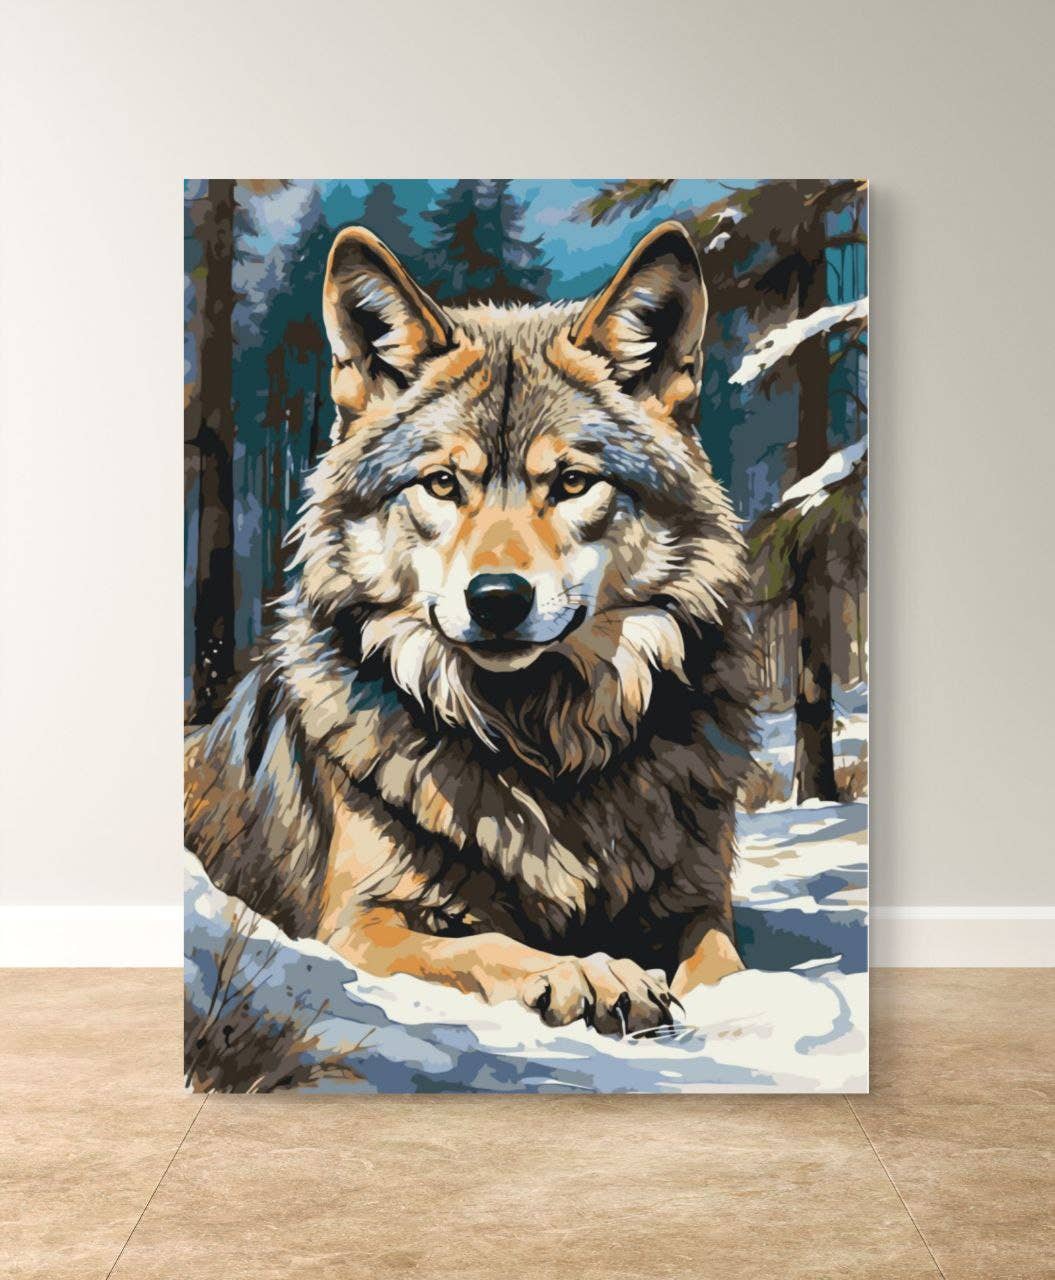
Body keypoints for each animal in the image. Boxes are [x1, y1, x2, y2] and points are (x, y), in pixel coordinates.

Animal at [185, 218, 756, 1035]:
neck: (541, 744)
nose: (496, 599)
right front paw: (590, 972)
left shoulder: (699, 903)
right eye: (442, 483)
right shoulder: (360, 921)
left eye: (572, 482)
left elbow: (723, 962)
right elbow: (488, 944)